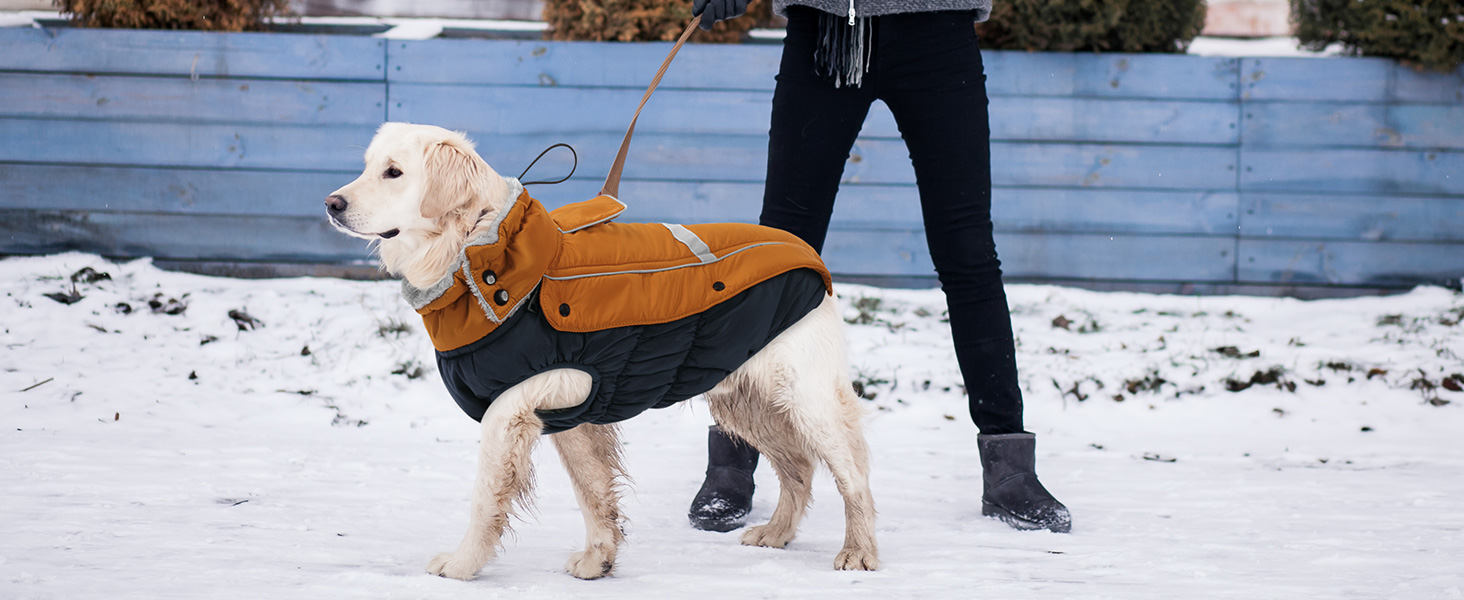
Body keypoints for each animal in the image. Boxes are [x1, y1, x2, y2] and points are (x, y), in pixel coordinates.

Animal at [329, 122, 878, 582]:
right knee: (799, 468)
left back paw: (859, 550)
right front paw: (600, 558)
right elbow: (592, 492)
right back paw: (777, 533)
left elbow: (486, 497)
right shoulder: (573, 415)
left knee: (853, 476)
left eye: (394, 172)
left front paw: (463, 565)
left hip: (805, 398)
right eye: (367, 165)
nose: (332, 203)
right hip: (743, 399)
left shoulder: (514, 405)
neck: (487, 255)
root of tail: (809, 255)